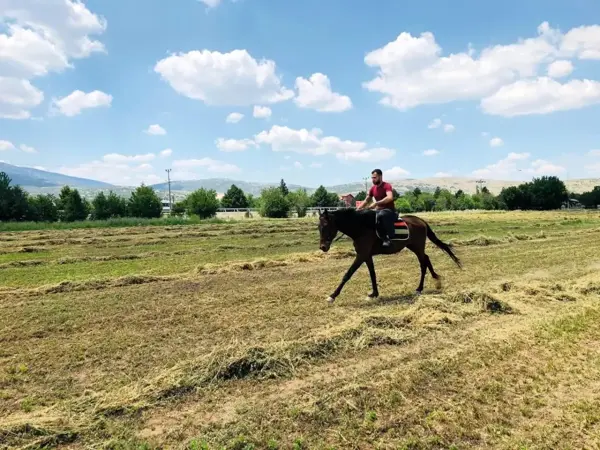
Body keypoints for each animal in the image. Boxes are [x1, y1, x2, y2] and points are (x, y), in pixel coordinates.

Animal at [316, 209, 462, 304]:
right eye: (318, 227)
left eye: (326, 226)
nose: (323, 247)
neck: (361, 227)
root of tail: (420, 220)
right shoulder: (367, 256)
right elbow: (372, 274)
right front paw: (374, 294)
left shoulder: (361, 255)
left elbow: (348, 274)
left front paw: (332, 296)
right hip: (414, 247)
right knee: (426, 259)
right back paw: (436, 281)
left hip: (417, 247)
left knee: (423, 263)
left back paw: (420, 288)